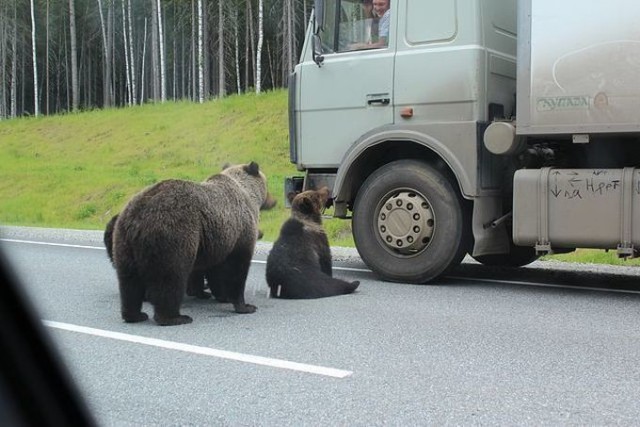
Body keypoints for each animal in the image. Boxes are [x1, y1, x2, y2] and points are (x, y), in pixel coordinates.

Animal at [110, 162, 276, 326]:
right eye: (267, 183)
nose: (273, 201)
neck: (247, 193)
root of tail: (138, 217)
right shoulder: (240, 231)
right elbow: (237, 269)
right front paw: (245, 306)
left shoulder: (219, 239)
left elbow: (216, 271)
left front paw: (222, 296)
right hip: (174, 234)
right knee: (170, 278)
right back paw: (175, 317)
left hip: (123, 241)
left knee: (129, 282)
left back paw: (135, 315)